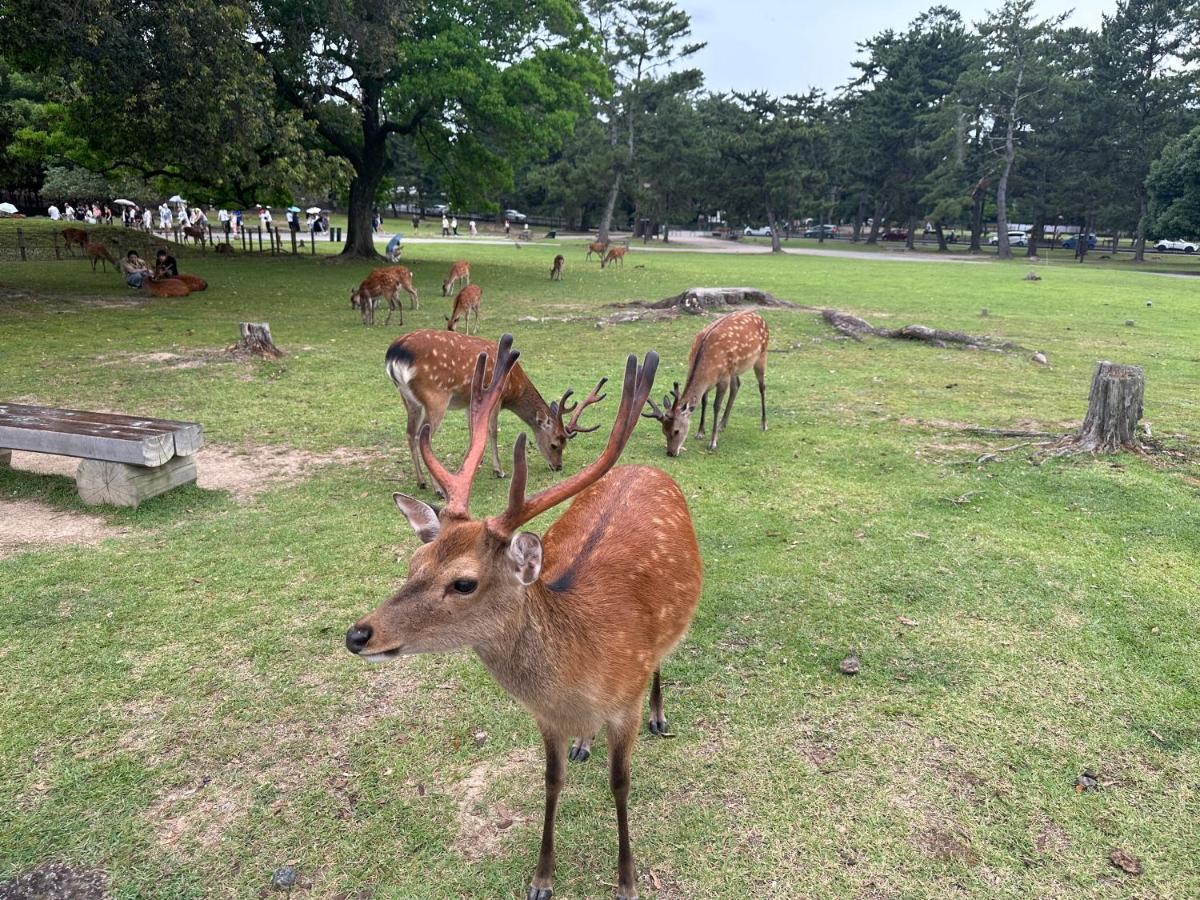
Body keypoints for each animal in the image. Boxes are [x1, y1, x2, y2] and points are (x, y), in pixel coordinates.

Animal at [386, 328, 604, 489]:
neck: (514, 388)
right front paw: (498, 470)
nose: (558, 467)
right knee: (424, 437)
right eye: (555, 444)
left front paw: (475, 461)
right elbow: (492, 431)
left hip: (408, 399)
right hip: (435, 396)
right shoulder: (496, 398)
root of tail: (395, 354)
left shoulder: (470, 401)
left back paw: (421, 481)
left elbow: (473, 429)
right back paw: (437, 488)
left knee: (410, 433)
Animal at [648, 309, 768, 453]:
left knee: (762, 387)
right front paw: (700, 432)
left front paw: (712, 442)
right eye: (663, 431)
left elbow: (716, 406)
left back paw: (764, 424)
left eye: (676, 431)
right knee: (736, 386)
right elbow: (704, 402)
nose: (671, 453)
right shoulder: (710, 382)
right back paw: (722, 424)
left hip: (762, 355)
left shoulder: (723, 378)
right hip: (734, 369)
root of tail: (759, 316)